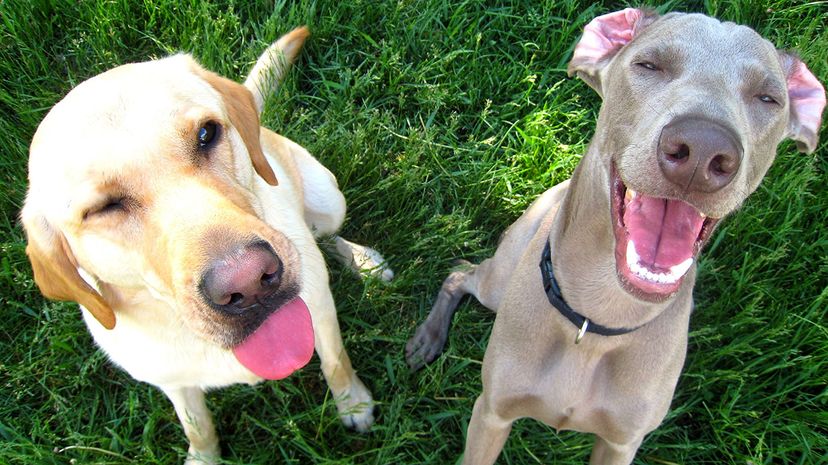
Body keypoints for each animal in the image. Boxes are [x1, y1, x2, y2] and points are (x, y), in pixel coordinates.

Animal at [20, 27, 392, 462]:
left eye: (206, 134)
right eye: (101, 208)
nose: (249, 282)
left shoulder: (319, 310)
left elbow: (335, 362)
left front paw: (353, 403)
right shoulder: (172, 383)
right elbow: (196, 426)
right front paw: (204, 456)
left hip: (328, 198)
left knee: (327, 235)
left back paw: (364, 261)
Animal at [406, 8, 820, 464]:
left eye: (768, 99)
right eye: (649, 65)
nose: (702, 149)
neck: (598, 319)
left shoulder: (622, 442)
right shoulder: (492, 412)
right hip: (498, 282)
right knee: (460, 272)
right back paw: (426, 339)